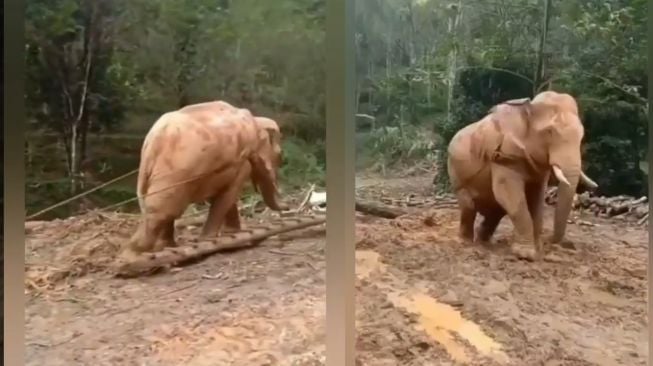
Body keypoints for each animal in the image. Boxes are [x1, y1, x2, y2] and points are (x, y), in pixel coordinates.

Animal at [127, 100, 288, 254]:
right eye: (280, 156)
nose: (287, 207)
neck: (256, 121)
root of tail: (152, 142)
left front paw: (231, 233)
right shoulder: (241, 161)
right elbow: (229, 194)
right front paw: (212, 238)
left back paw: (166, 246)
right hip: (174, 173)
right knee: (162, 211)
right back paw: (137, 251)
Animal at [448, 91, 596, 260]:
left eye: (582, 135)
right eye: (549, 132)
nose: (551, 242)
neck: (530, 108)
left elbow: (536, 198)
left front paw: (537, 250)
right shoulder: (504, 155)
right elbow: (511, 195)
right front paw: (526, 255)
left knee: (496, 211)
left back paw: (484, 242)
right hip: (456, 174)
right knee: (469, 206)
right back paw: (466, 243)